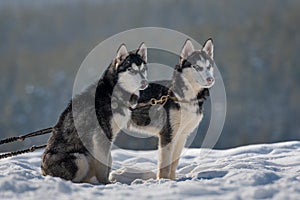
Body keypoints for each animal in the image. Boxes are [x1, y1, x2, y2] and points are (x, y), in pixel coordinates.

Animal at [40, 43, 148, 184]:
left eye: (143, 69)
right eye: (131, 69)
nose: (144, 83)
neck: (113, 93)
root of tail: (43, 170)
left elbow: (108, 161)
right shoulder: (101, 135)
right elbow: (103, 166)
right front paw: (106, 182)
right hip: (79, 159)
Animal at [130, 38, 214, 180]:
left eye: (209, 67)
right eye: (196, 67)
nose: (210, 79)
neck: (185, 99)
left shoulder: (181, 135)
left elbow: (174, 163)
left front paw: (172, 180)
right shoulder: (167, 133)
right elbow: (165, 165)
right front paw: (163, 181)